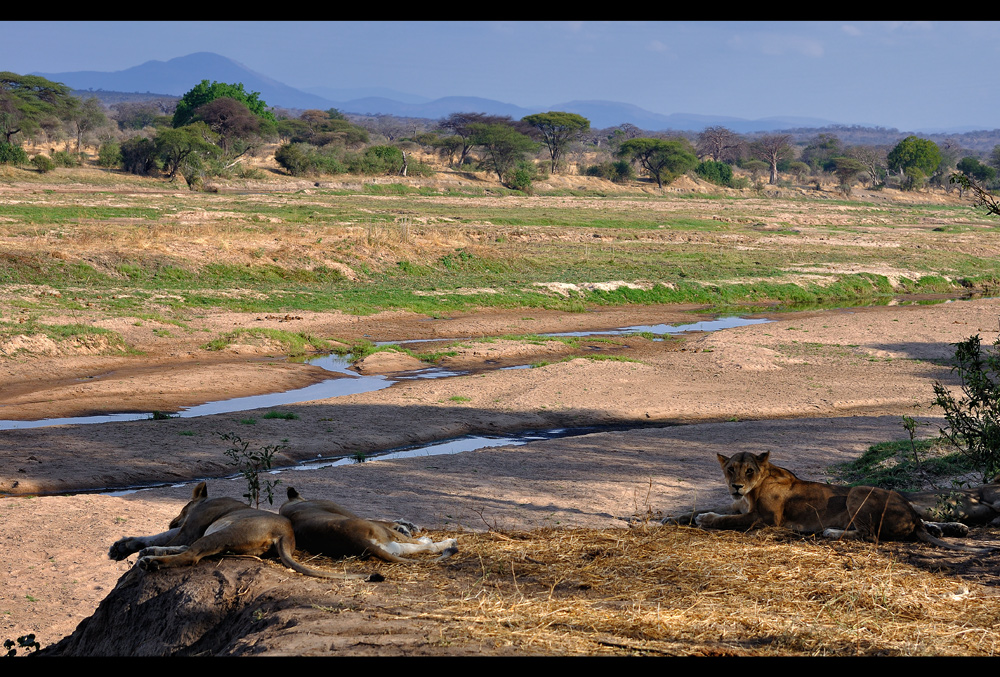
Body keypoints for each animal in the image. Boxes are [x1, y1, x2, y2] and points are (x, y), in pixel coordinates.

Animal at [108, 480, 382, 580]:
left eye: (183, 506)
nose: (172, 520)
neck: (206, 501)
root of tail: (286, 534)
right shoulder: (190, 529)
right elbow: (156, 536)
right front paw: (121, 547)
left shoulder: (192, 526)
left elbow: (170, 539)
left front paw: (137, 549)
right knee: (188, 550)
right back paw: (150, 555)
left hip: (224, 532)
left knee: (191, 554)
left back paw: (152, 561)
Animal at [278, 486, 458, 564]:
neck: (290, 507)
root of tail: (359, 542)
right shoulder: (344, 510)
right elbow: (384, 520)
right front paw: (406, 526)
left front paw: (406, 526)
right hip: (383, 534)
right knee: (424, 546)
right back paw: (445, 542)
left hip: (392, 548)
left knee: (414, 548)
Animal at [680, 452, 992, 552]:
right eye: (731, 469)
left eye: (749, 471)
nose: (736, 486)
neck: (750, 493)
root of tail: (913, 518)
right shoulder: (739, 506)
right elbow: (708, 509)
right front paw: (684, 516)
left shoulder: (766, 520)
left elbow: (725, 519)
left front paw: (705, 519)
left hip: (856, 492)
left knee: (870, 535)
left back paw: (830, 532)